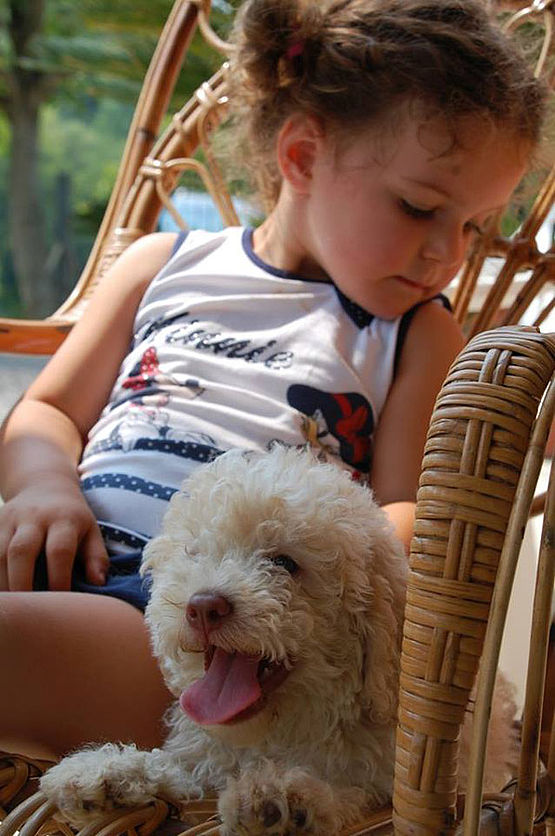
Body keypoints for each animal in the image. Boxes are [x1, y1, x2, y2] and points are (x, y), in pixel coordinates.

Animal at [39, 448, 516, 832]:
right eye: (196, 553)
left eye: (285, 563)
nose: (203, 607)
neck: (275, 732)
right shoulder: (209, 754)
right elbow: (181, 768)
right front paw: (108, 773)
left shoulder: (385, 778)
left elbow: (354, 793)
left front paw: (285, 797)